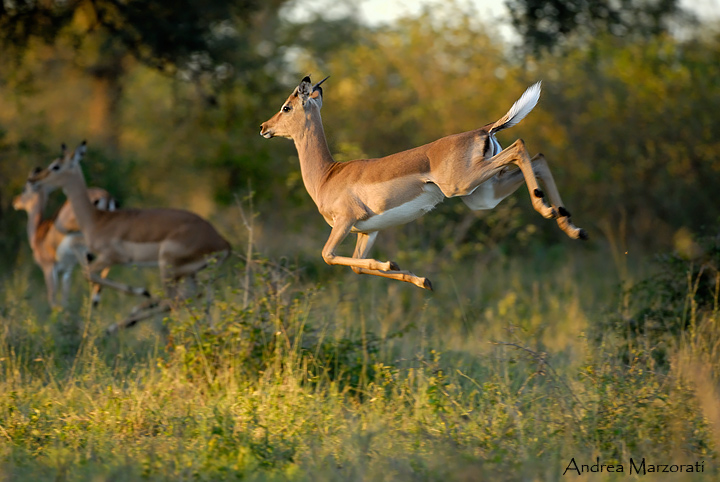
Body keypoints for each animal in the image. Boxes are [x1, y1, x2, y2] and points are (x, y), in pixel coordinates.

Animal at [27, 142, 232, 333]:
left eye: (56, 166)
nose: (34, 180)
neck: (97, 219)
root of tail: (223, 242)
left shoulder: (113, 258)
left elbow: (88, 274)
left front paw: (141, 293)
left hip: (167, 267)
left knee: (173, 300)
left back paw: (118, 325)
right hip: (188, 274)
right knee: (191, 298)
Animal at [260, 76, 586, 290]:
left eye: (287, 106)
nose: (264, 127)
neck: (328, 175)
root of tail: (483, 130)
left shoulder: (344, 222)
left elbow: (328, 256)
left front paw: (390, 264)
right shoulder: (367, 231)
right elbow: (356, 267)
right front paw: (420, 279)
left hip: (464, 184)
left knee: (520, 146)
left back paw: (548, 211)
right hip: (483, 195)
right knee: (539, 158)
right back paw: (570, 225)